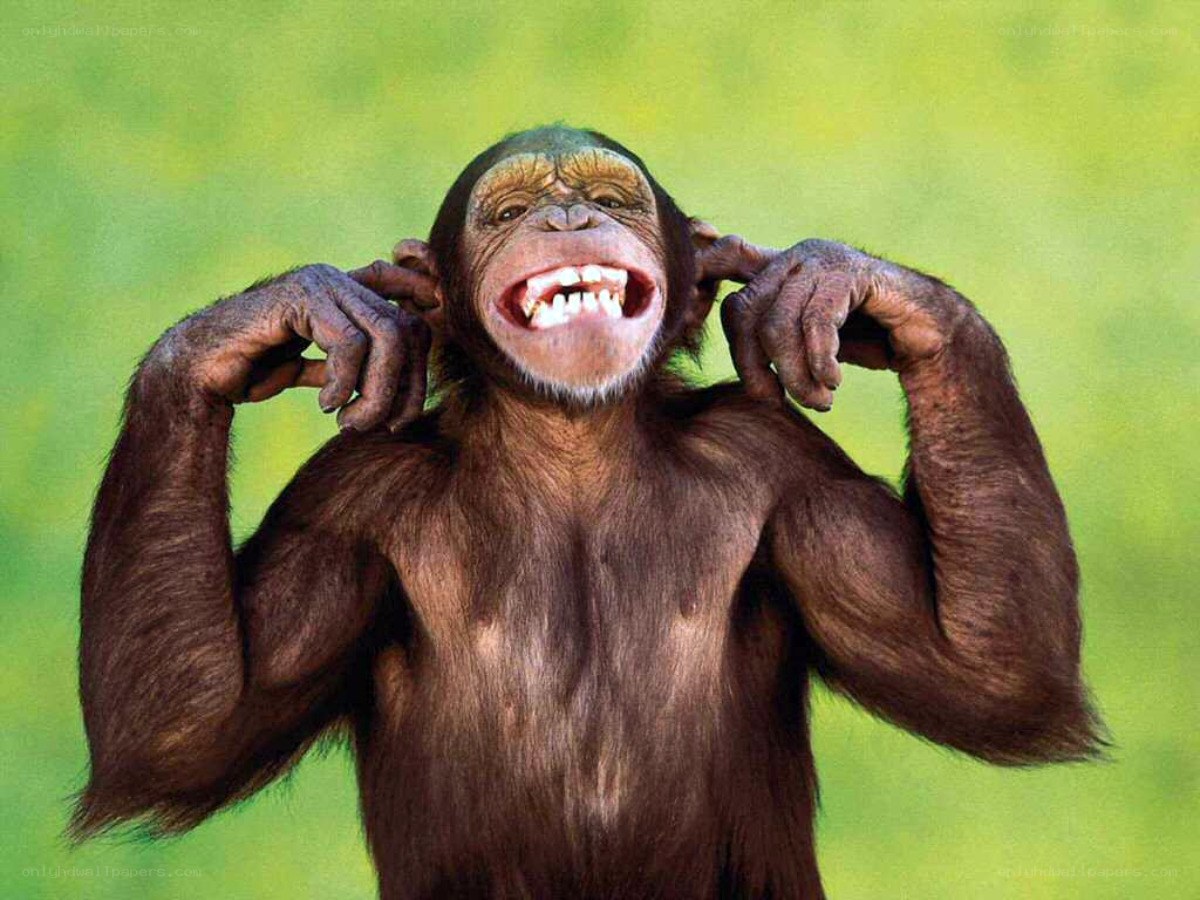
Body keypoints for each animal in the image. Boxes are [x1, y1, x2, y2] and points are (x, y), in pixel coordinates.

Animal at [73, 125, 1103, 899]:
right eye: (508, 212)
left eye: (612, 199)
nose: (568, 215)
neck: (572, 448)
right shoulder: (345, 505)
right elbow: (187, 726)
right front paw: (275, 318)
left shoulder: (785, 470)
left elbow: (981, 673)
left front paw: (834, 282)